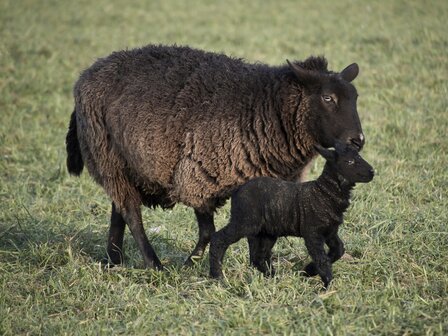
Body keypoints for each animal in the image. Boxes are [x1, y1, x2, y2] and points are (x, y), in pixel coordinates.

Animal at [67, 44, 368, 270]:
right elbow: (208, 231)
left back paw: (114, 259)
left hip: (122, 163)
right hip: (106, 154)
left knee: (118, 209)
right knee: (131, 212)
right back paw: (154, 264)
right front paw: (192, 263)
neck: (263, 108)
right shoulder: (200, 174)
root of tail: (88, 73)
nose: (358, 141)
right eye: (328, 98)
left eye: (355, 97)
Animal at [210, 143, 374, 288]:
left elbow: (339, 250)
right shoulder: (313, 233)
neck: (324, 193)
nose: (373, 171)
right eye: (349, 161)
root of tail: (237, 190)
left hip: (267, 231)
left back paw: (273, 278)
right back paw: (217, 276)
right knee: (219, 239)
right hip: (244, 221)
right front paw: (326, 285)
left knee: (259, 257)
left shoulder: (330, 231)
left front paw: (308, 271)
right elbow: (321, 259)